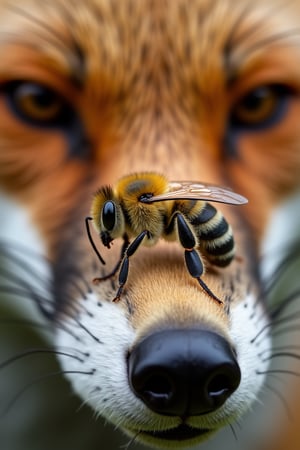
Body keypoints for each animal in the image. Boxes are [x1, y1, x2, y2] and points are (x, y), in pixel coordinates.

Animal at [0, 0, 300, 448]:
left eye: (258, 103)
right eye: (38, 101)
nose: (188, 364)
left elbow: (136, 255)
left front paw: (120, 279)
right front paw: (108, 274)